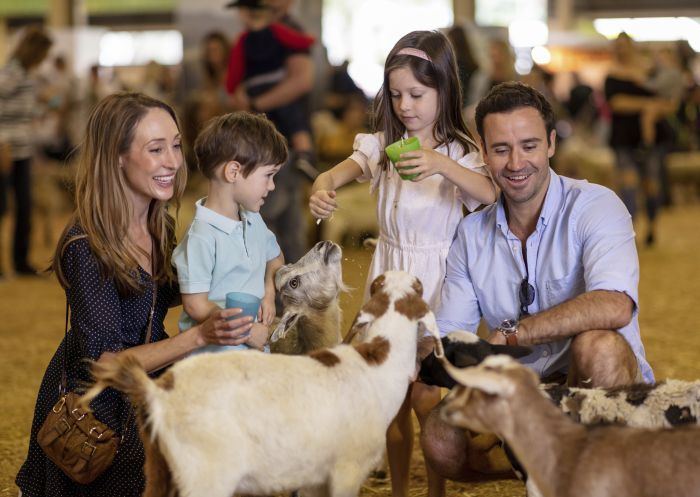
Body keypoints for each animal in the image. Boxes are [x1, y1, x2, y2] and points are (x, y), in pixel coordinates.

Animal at [82, 270, 442, 496]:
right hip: (205, 474)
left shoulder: (316, 478)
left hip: (160, 468)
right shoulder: (347, 469)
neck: (376, 366)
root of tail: (158, 390)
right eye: (420, 288)